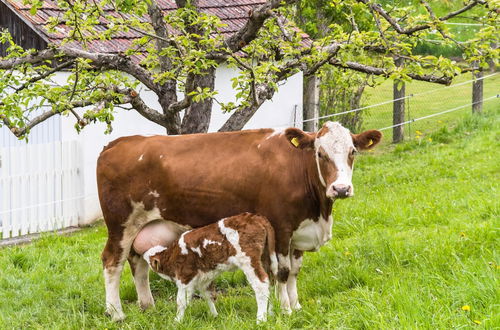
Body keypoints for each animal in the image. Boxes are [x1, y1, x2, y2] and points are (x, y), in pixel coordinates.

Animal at [140, 213, 278, 324]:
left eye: (151, 260)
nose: (143, 254)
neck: (173, 255)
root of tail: (257, 217)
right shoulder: (204, 278)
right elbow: (209, 295)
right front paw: (214, 316)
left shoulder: (185, 277)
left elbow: (181, 301)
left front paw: (177, 321)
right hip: (266, 257)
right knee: (271, 282)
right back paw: (271, 314)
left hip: (248, 259)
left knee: (261, 284)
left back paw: (261, 319)